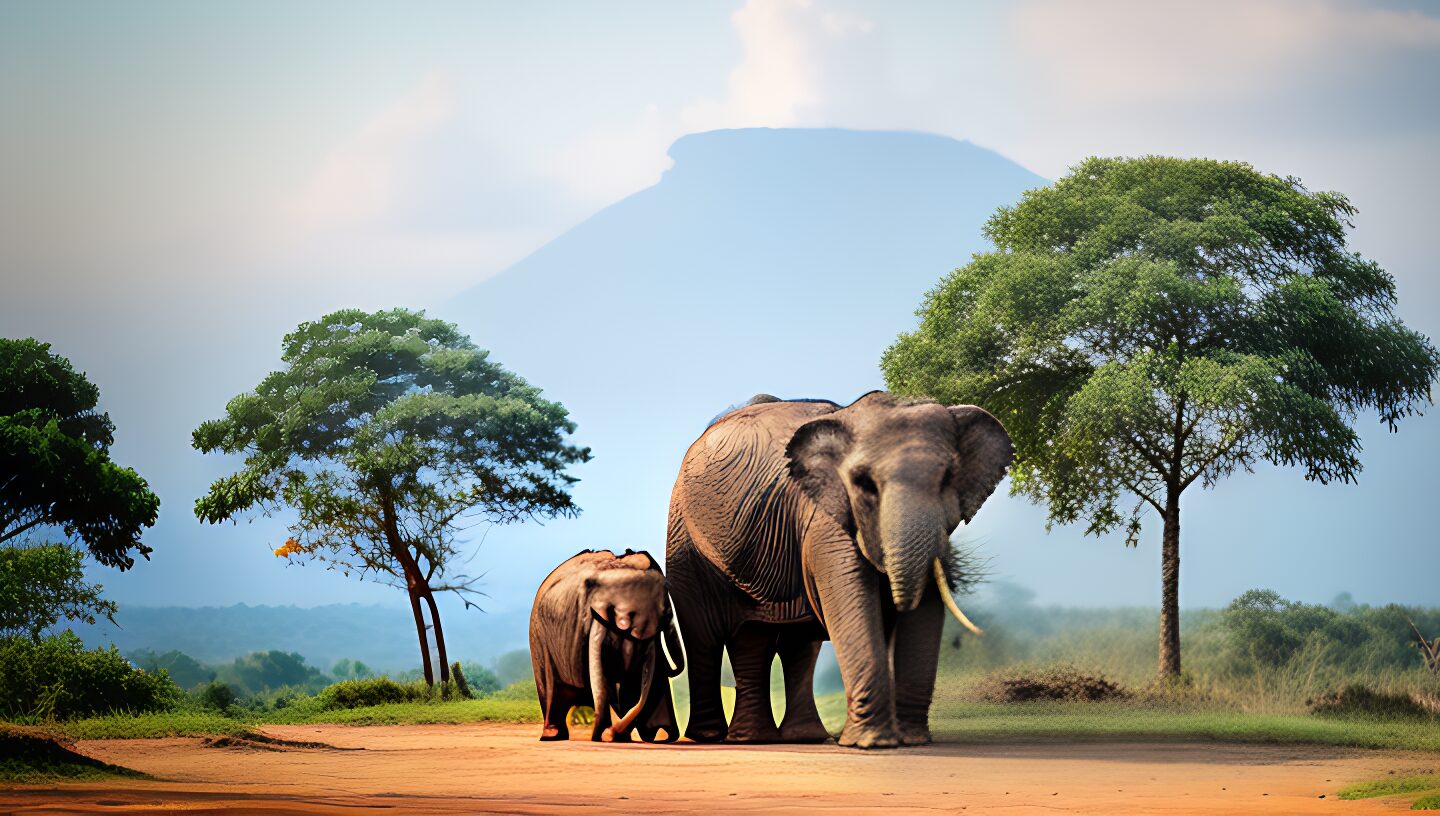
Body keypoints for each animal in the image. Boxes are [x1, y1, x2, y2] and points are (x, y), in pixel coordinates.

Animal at [529, 549, 685, 742]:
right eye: (668, 613)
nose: (612, 733)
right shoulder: (593, 619)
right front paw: (605, 735)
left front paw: (621, 736)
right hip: (539, 637)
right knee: (551, 684)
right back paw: (552, 735)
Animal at [666, 391, 1011, 748]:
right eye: (863, 483)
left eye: (947, 479)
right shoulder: (825, 522)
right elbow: (854, 604)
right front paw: (875, 744)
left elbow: (925, 612)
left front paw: (911, 741)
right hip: (684, 538)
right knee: (705, 636)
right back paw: (711, 737)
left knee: (778, 639)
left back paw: (784, 738)